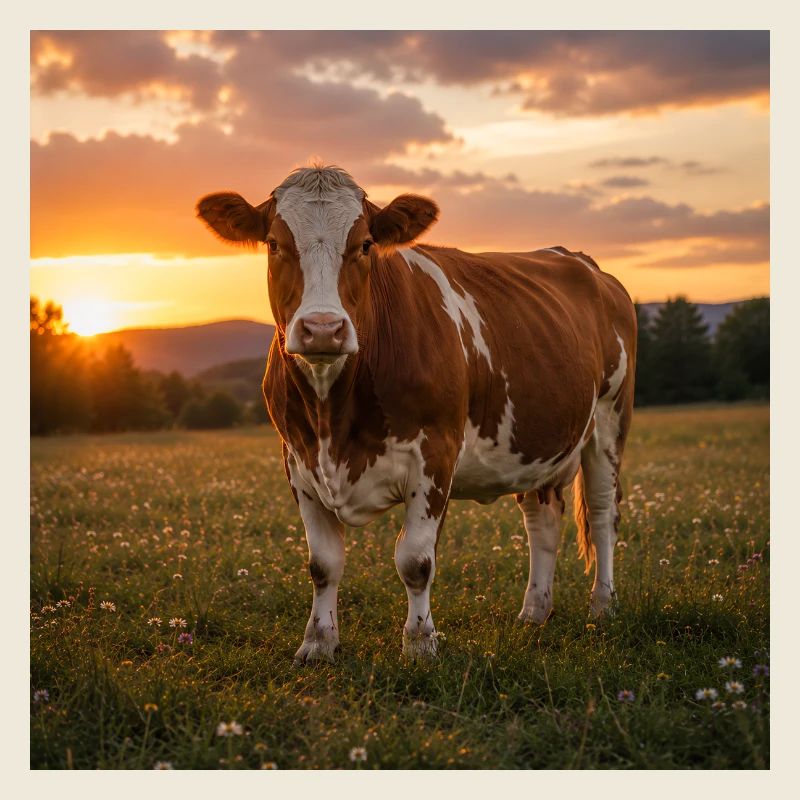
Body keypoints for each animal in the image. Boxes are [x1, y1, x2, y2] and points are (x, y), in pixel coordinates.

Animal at [197, 165, 637, 663]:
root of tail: (580, 261)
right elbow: (323, 563)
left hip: (609, 421)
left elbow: (415, 560)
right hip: (538, 439)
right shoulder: (297, 459)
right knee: (542, 518)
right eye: (273, 243)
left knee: (602, 513)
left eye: (366, 244)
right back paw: (533, 612)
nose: (323, 329)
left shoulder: (435, 455)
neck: (334, 419)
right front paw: (318, 642)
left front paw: (420, 642)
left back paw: (602, 606)